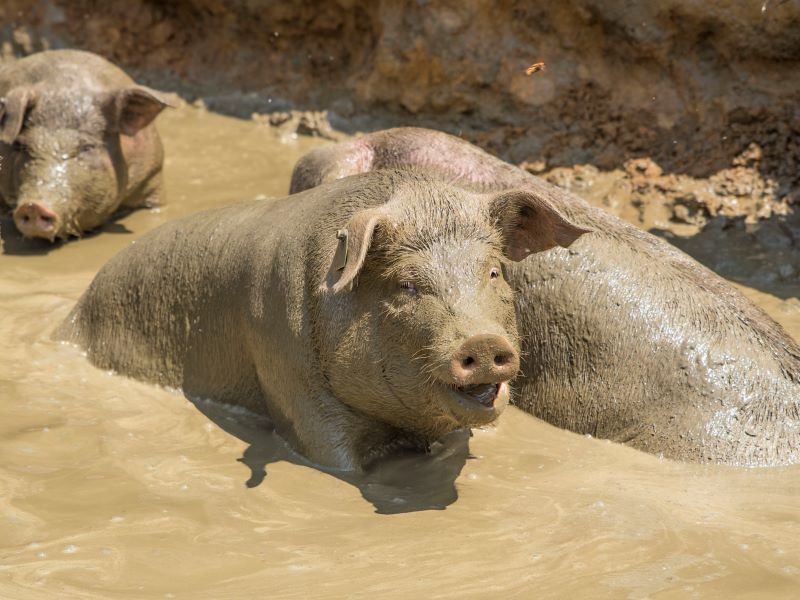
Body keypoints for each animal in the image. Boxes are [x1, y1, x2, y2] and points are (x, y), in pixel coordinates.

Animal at [57, 171, 588, 472]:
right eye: (406, 285)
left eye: (493, 271)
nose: (481, 341)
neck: (398, 426)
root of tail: (70, 318)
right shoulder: (289, 379)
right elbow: (336, 462)